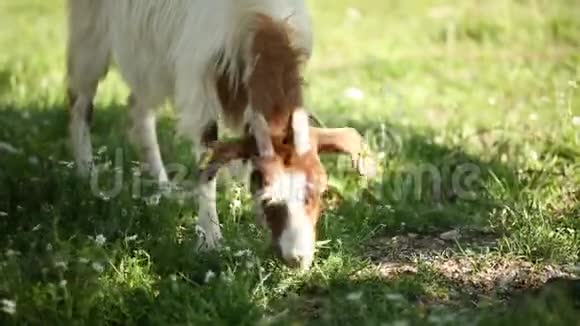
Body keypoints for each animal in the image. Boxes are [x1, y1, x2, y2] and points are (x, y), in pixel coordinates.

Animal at [67, 0, 376, 270]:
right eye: (267, 199)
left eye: (319, 192)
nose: (297, 259)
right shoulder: (198, 74)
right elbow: (208, 157)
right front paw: (210, 239)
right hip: (92, 30)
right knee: (81, 101)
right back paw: (84, 173)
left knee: (138, 106)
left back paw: (163, 187)